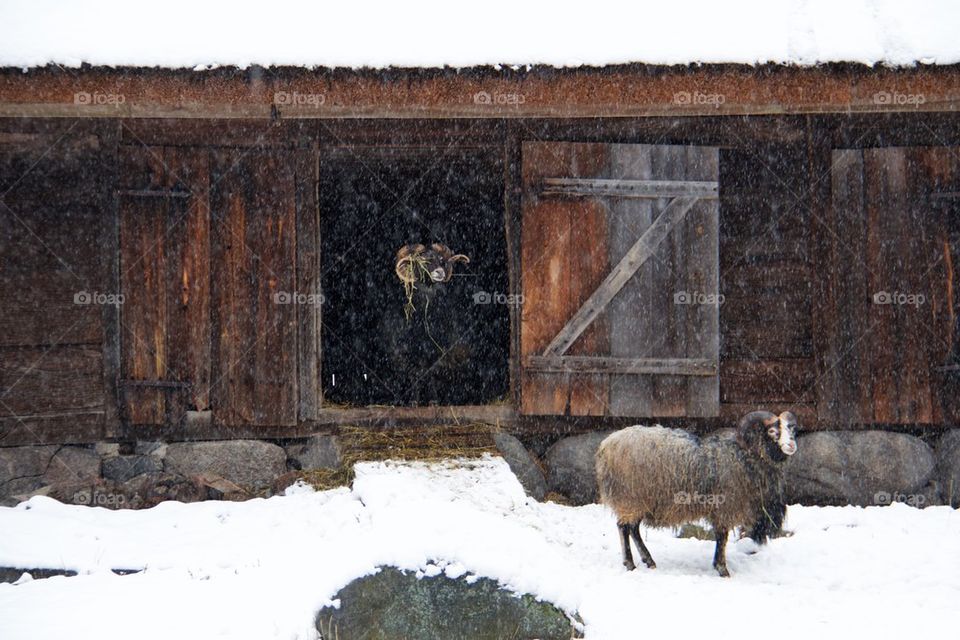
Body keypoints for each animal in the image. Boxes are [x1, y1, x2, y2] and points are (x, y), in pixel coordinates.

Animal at [596, 412, 800, 576]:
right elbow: (722, 536)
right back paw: (630, 564)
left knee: (634, 528)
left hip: (639, 501)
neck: (745, 455)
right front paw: (722, 569)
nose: (791, 445)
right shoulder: (725, 507)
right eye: (772, 431)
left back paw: (649, 561)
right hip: (630, 498)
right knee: (624, 527)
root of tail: (607, 445)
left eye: (791, 430)